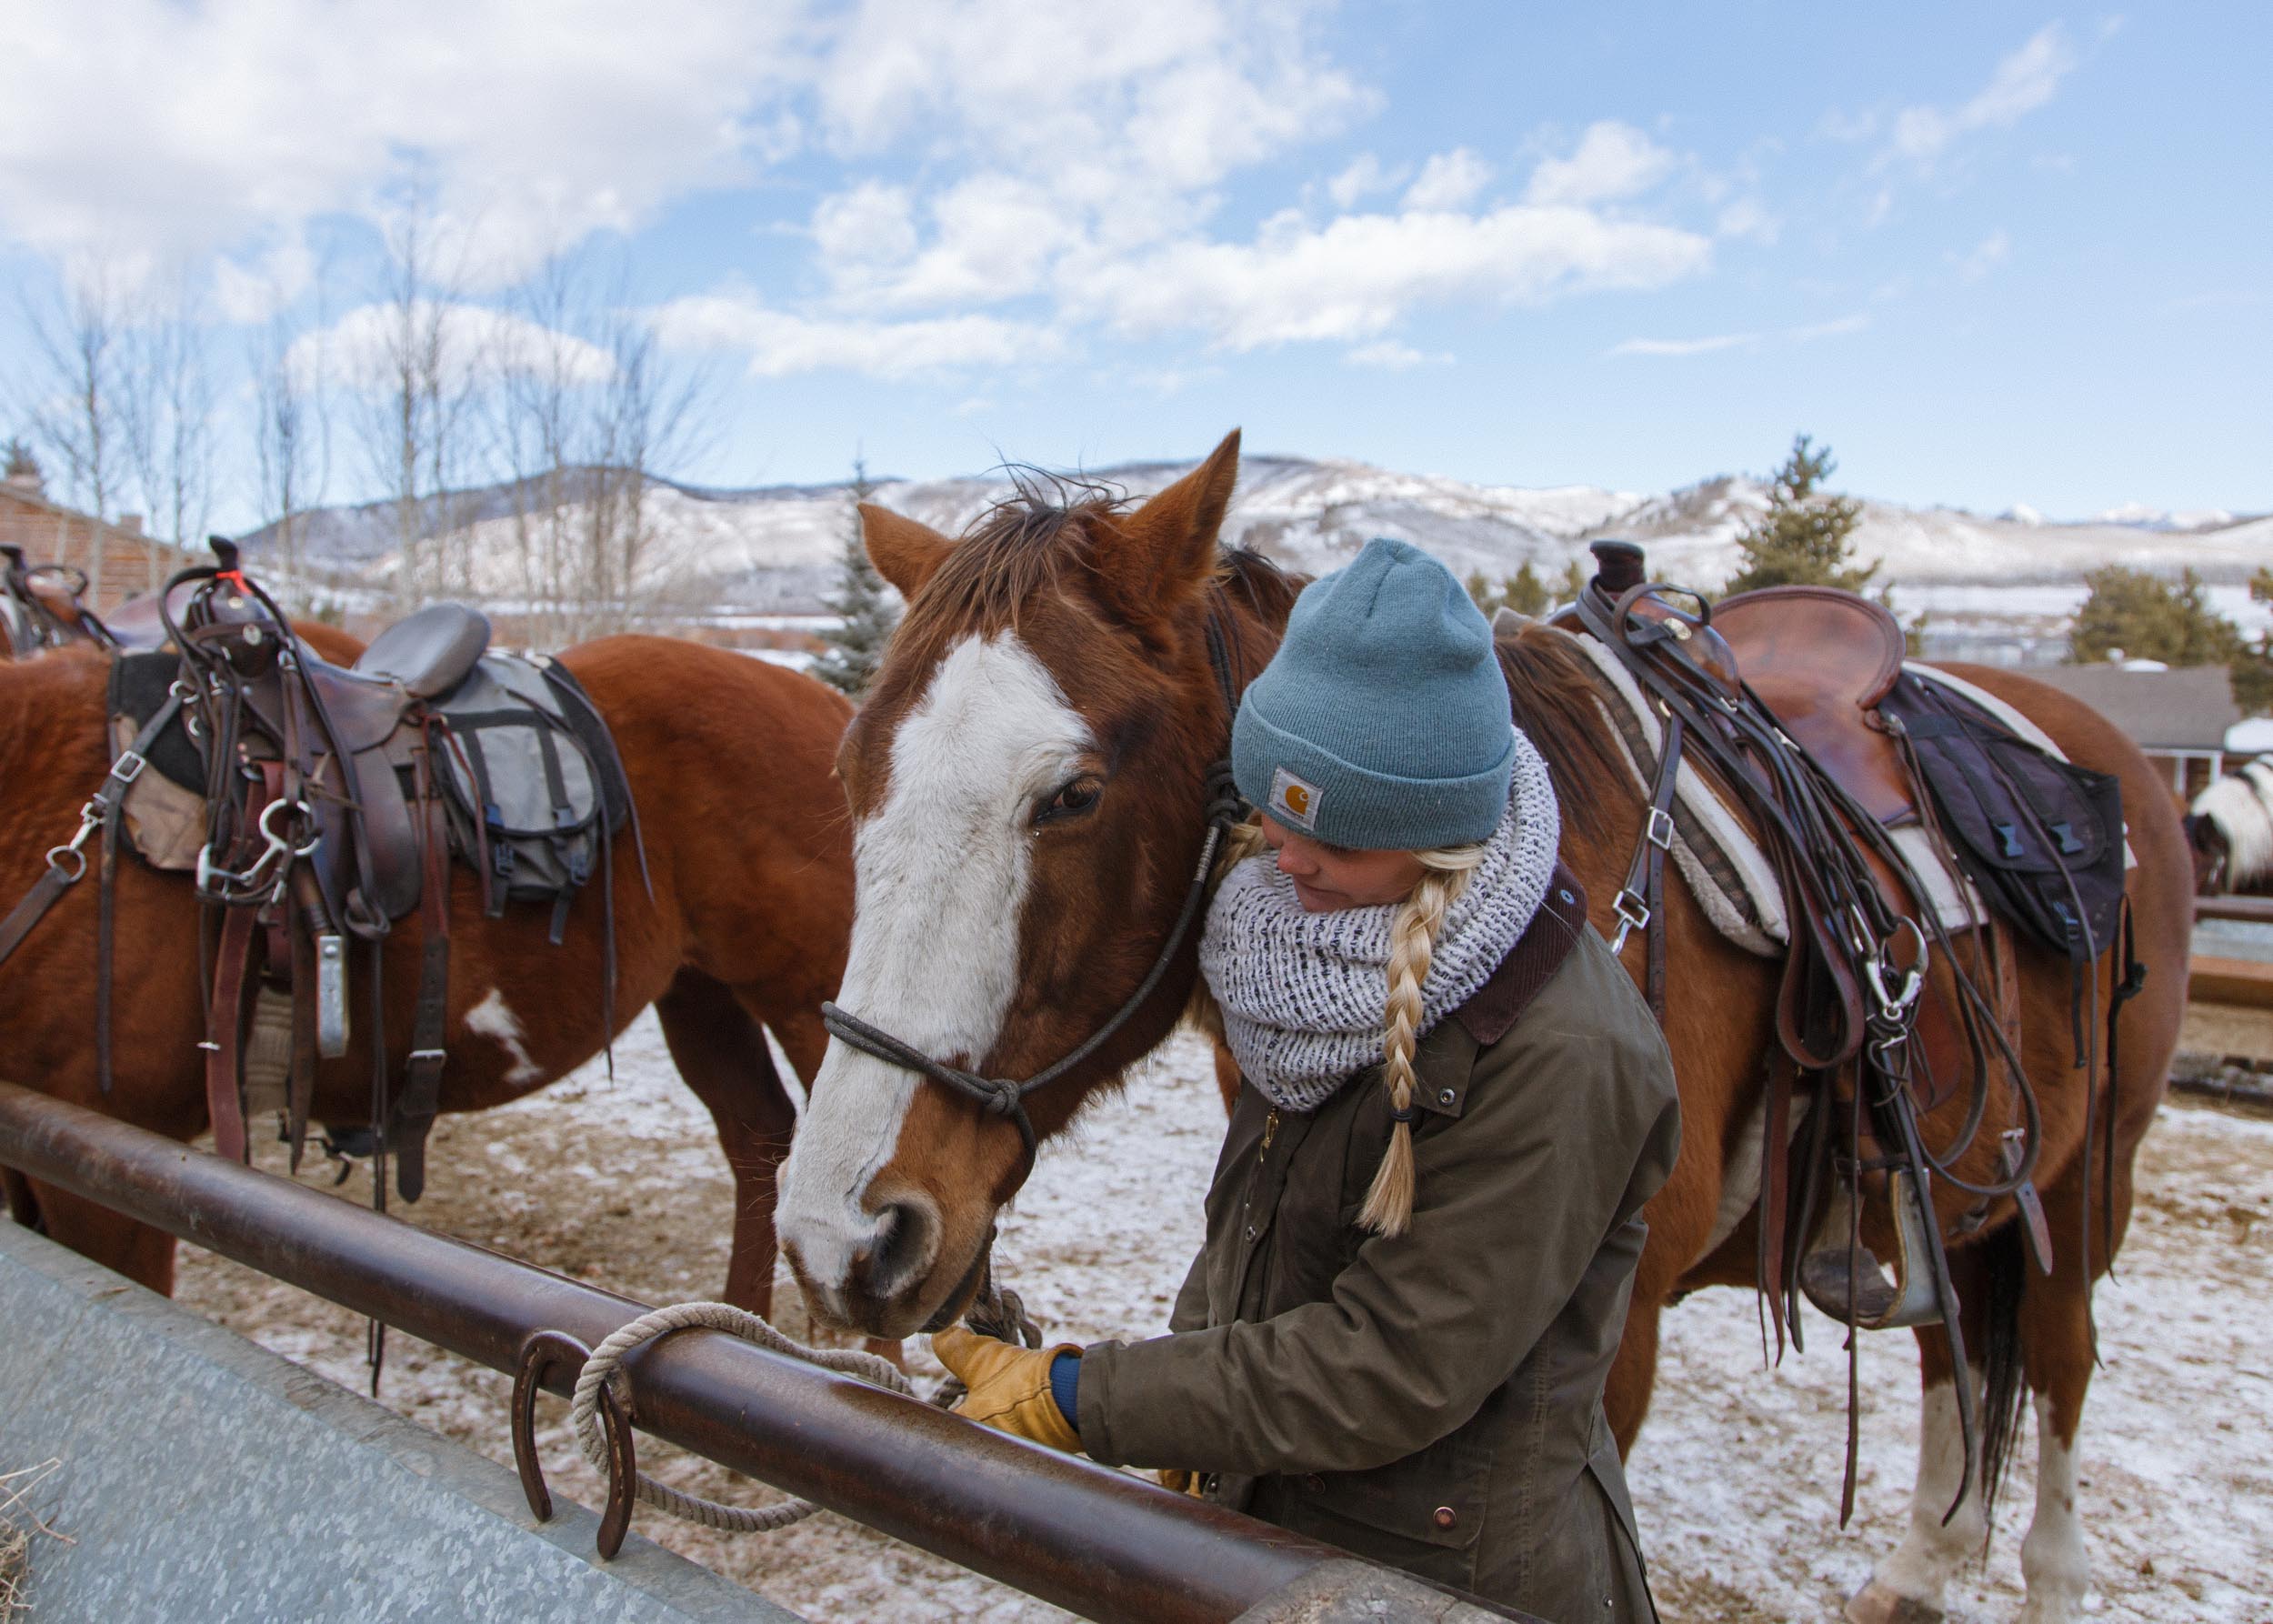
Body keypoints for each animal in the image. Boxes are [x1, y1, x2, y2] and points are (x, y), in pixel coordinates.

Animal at [773, 429, 2191, 1619]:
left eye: (1072, 794)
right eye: (846, 773)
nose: (842, 1235)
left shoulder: (1613, 1344)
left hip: (2091, 1178)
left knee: (2057, 1363)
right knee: (1955, 1346)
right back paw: (1925, 1561)